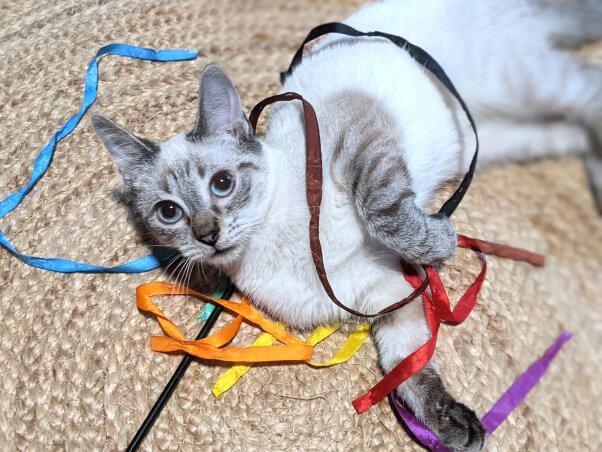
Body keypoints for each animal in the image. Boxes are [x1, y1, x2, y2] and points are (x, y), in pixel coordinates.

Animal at [91, 1, 596, 450]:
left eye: (222, 183)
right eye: (168, 212)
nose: (207, 235)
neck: (271, 251)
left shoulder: (358, 137)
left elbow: (384, 212)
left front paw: (437, 242)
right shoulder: (383, 293)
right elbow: (405, 368)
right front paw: (450, 425)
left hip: (522, 82)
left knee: (589, 92)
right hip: (494, 138)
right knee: (565, 132)